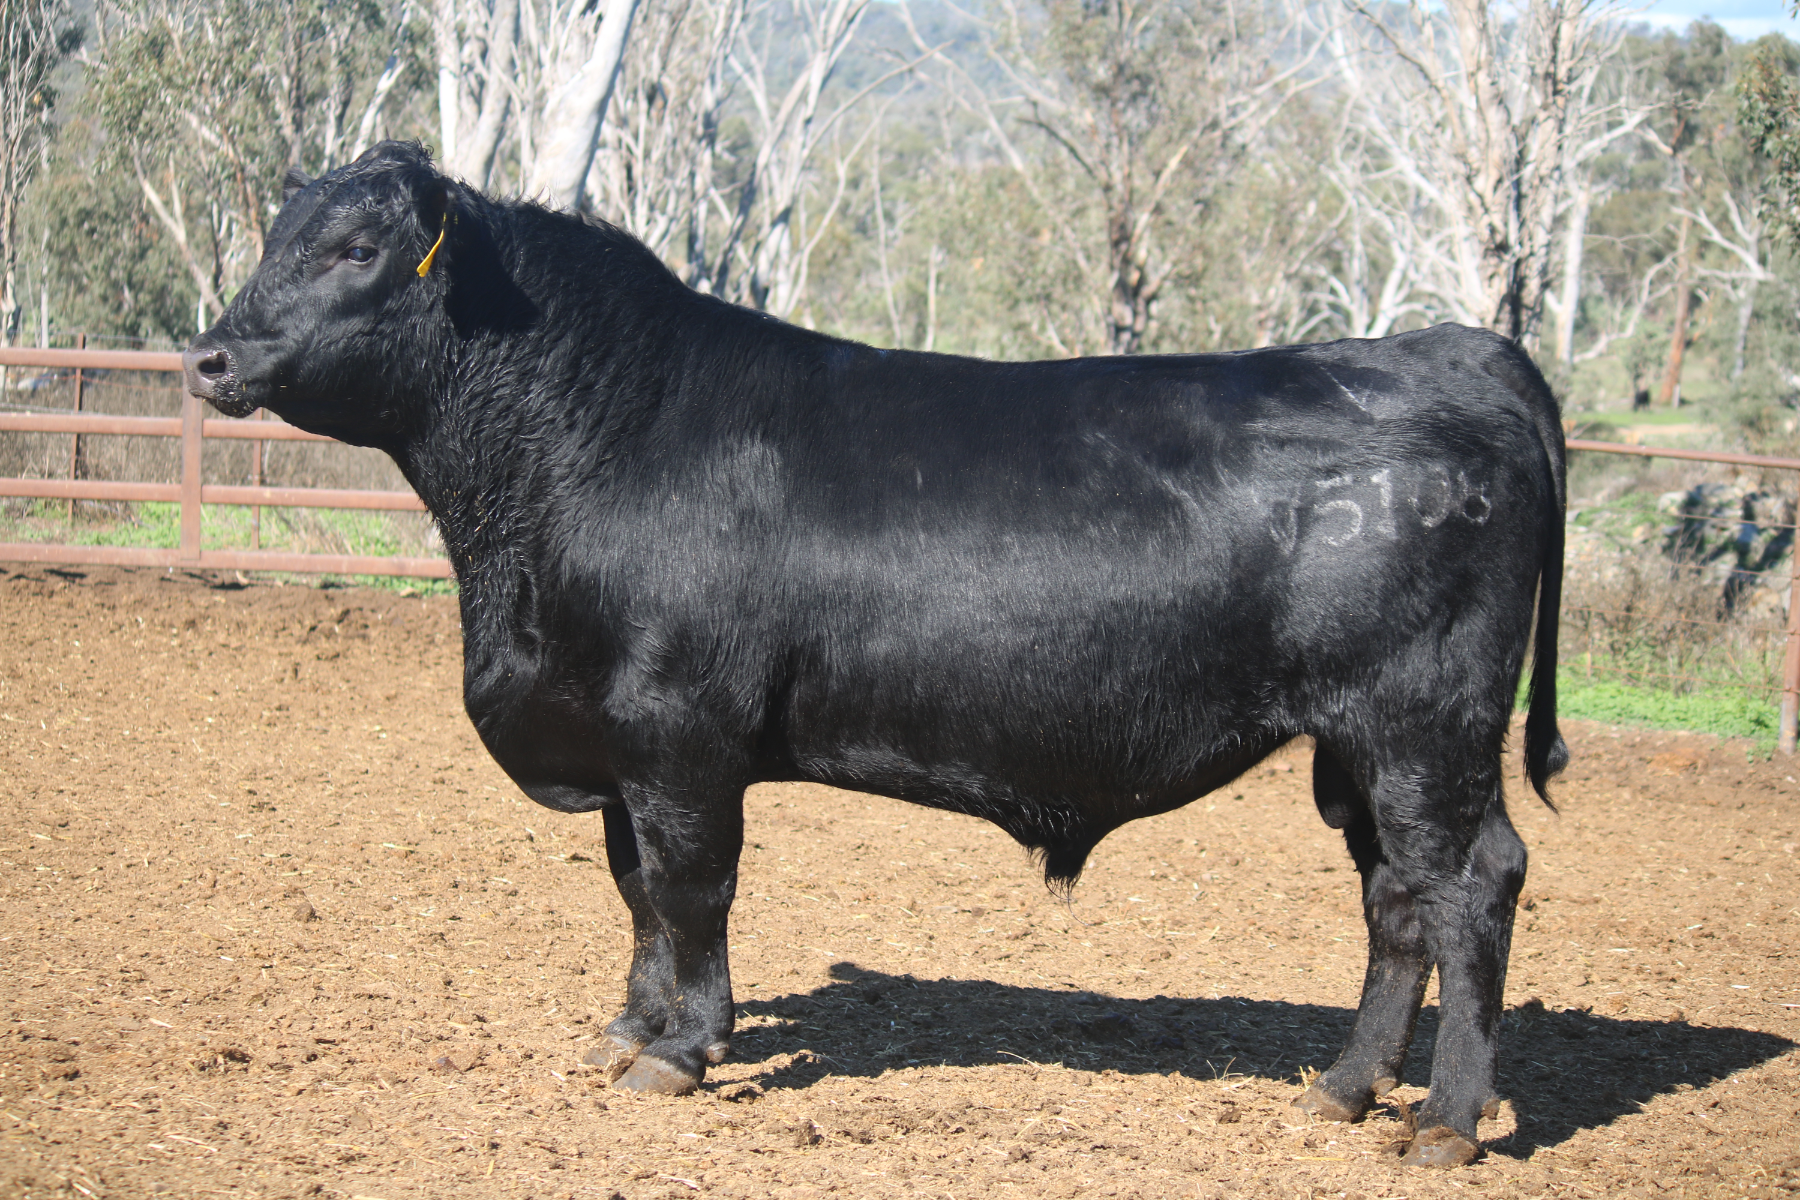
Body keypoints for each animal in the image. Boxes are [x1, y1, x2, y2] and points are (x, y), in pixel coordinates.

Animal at [182, 142, 1567, 1168]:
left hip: (1424, 726)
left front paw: (683, 1051)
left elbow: (692, 890)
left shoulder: (681, 735)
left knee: (1472, 883)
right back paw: (1341, 1089)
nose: (209, 355)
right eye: (275, 235)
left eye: (356, 249)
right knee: (1396, 900)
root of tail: (1448, 347)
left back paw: (1446, 1125)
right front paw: (627, 1028)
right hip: (1359, 748)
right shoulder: (615, 744)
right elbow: (634, 893)